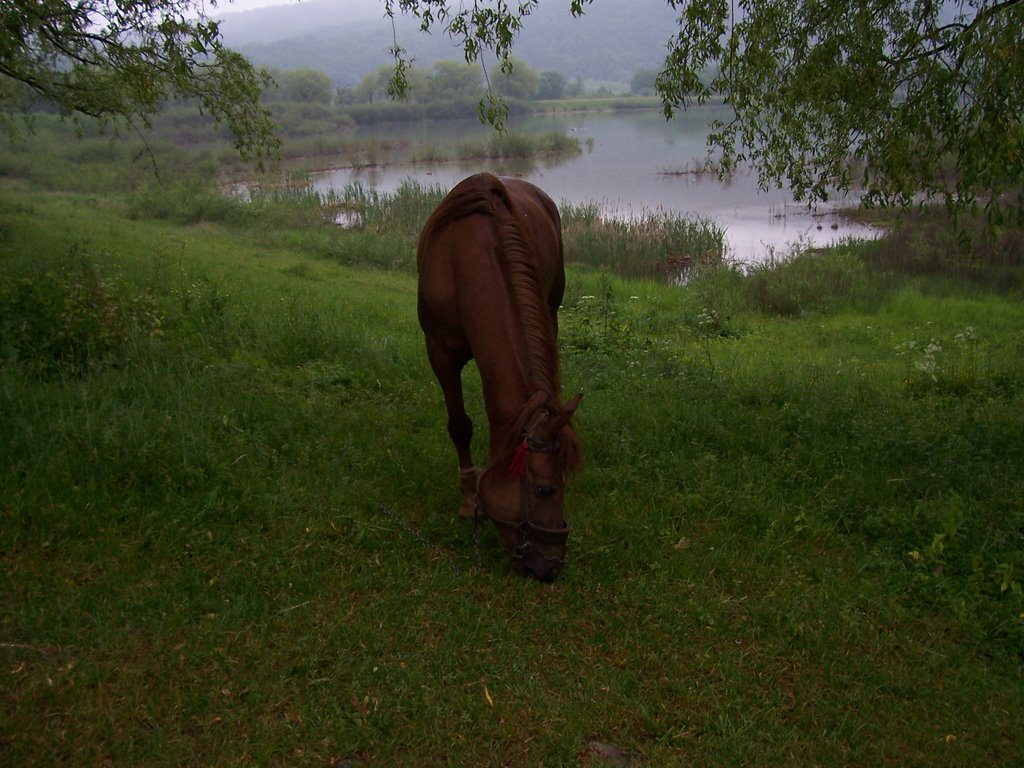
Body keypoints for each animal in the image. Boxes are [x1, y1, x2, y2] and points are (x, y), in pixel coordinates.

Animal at [417, 174, 585, 581]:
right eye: (544, 490)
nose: (553, 566)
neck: (462, 258)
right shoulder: (439, 354)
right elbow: (459, 426)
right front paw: (467, 502)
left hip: (551, 308)